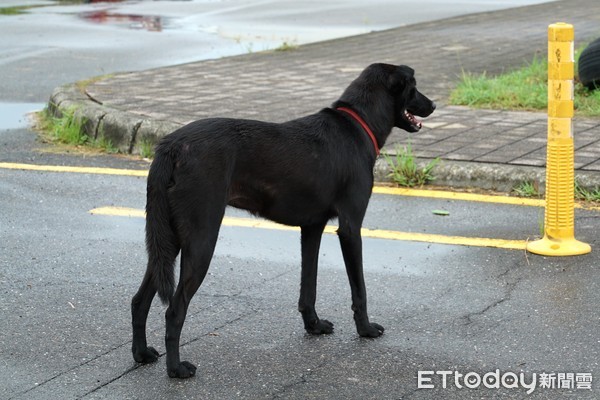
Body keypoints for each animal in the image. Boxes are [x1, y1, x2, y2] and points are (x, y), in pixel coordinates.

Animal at [130, 63, 436, 378]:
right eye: (414, 86)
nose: (433, 105)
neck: (358, 122)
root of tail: (172, 146)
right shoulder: (351, 228)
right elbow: (359, 288)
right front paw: (365, 329)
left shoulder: (312, 228)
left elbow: (308, 285)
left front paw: (314, 325)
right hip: (201, 240)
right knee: (174, 310)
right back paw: (176, 369)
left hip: (170, 241)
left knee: (139, 300)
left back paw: (142, 354)